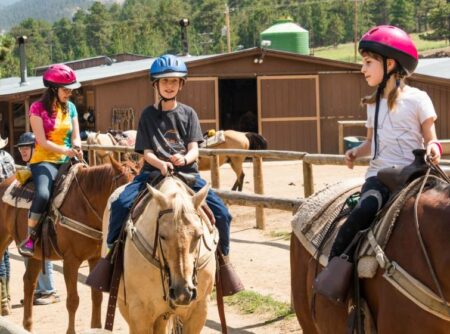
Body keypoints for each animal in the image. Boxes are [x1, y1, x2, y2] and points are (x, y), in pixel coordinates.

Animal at [0, 159, 134, 334]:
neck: (84, 206)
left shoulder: (95, 259)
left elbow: (97, 297)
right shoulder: (71, 260)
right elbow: (73, 300)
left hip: (36, 253)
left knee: (29, 282)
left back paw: (27, 327)